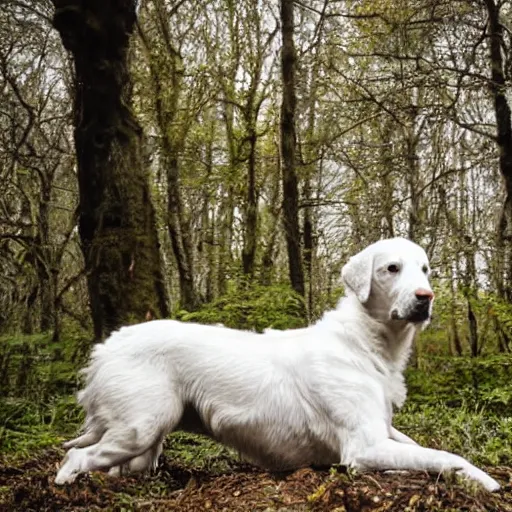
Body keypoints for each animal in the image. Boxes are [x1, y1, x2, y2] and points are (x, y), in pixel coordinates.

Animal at [56, 238, 500, 490]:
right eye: (392, 268)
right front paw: (488, 484)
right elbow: (444, 455)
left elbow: (435, 450)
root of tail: (107, 346)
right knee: (74, 460)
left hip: (145, 443)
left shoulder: (385, 431)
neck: (365, 343)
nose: (426, 298)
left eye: (424, 270)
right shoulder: (364, 446)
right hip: (141, 427)